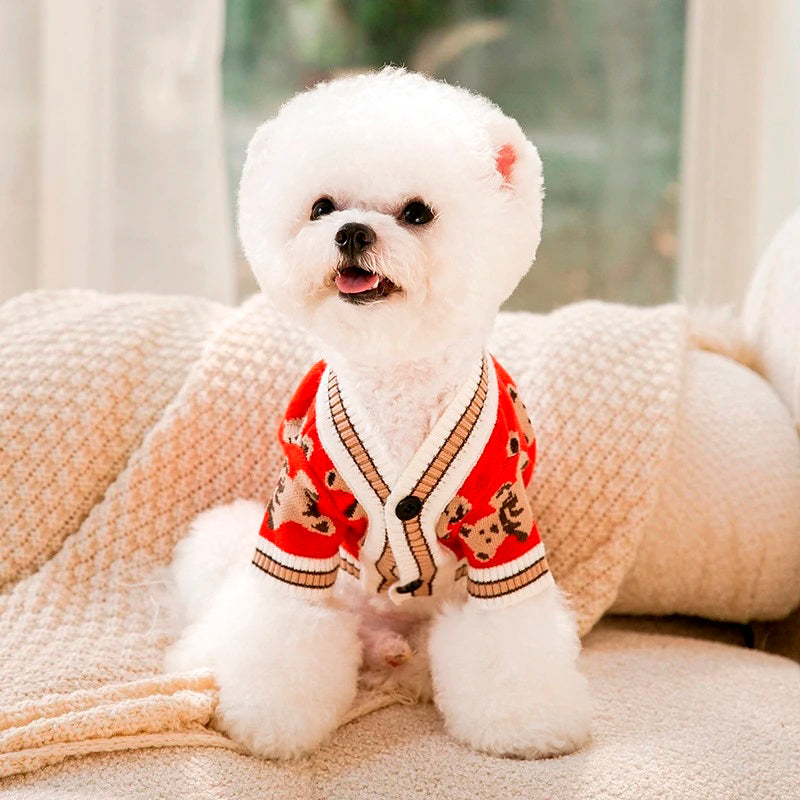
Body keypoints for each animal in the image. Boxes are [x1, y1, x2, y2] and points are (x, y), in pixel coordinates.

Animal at [166, 65, 592, 760]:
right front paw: (265, 716)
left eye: (417, 213)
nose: (352, 232)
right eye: (322, 207)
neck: (394, 376)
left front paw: (528, 725)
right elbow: (282, 623)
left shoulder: (500, 524)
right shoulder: (299, 514)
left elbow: (507, 628)